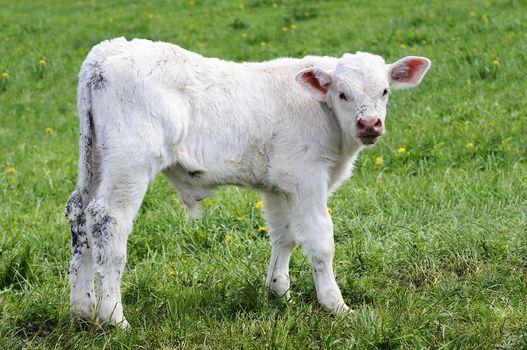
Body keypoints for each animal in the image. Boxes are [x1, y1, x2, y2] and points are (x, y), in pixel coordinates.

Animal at [64, 37, 432, 326]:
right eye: (341, 93)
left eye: (385, 91)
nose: (369, 124)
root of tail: (105, 52)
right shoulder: (307, 178)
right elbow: (320, 239)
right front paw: (335, 305)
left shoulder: (279, 186)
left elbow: (284, 236)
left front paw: (278, 293)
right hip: (130, 163)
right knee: (107, 219)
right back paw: (114, 317)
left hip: (95, 160)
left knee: (79, 214)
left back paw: (83, 309)